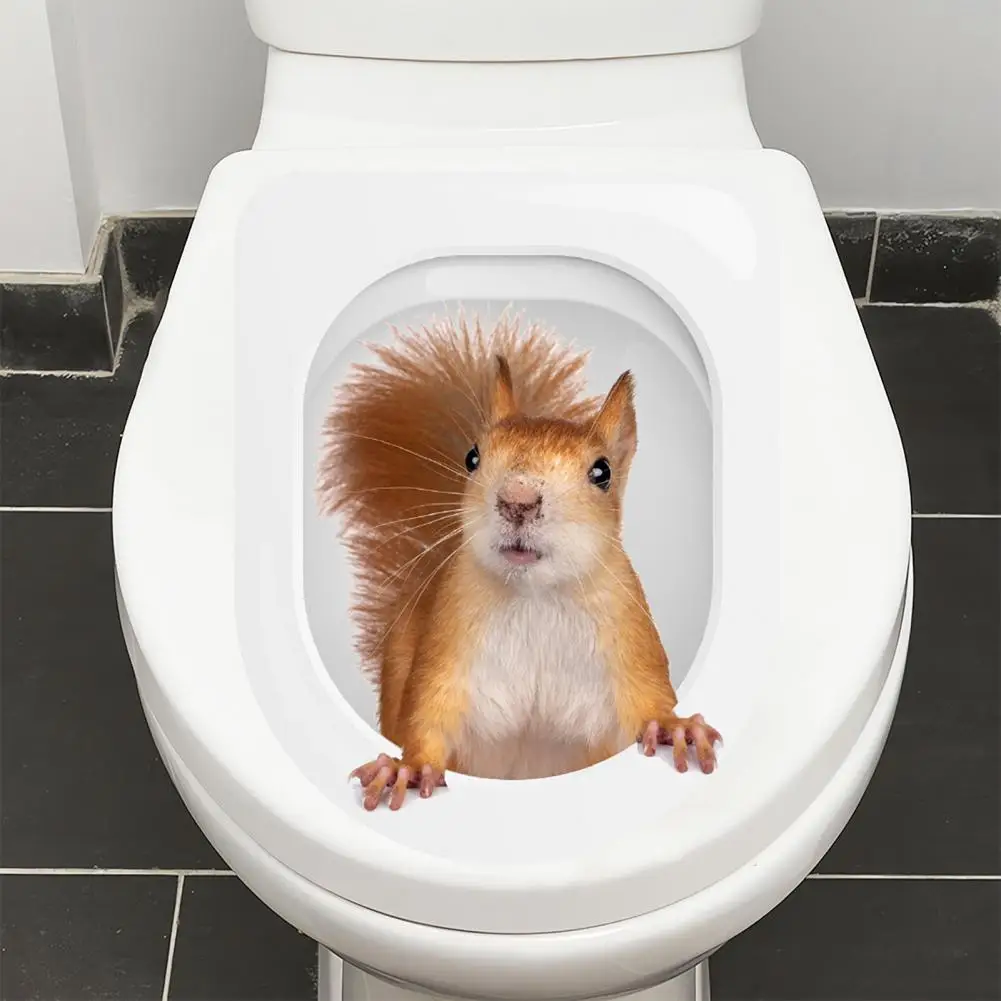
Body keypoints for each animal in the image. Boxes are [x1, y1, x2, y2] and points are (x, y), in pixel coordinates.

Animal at [318, 313, 721, 811]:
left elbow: (649, 701)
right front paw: (408, 767)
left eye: (602, 471)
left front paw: (674, 726)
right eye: (472, 457)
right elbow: (428, 716)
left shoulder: (632, 647)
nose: (517, 499)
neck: (535, 597)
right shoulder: (444, 651)